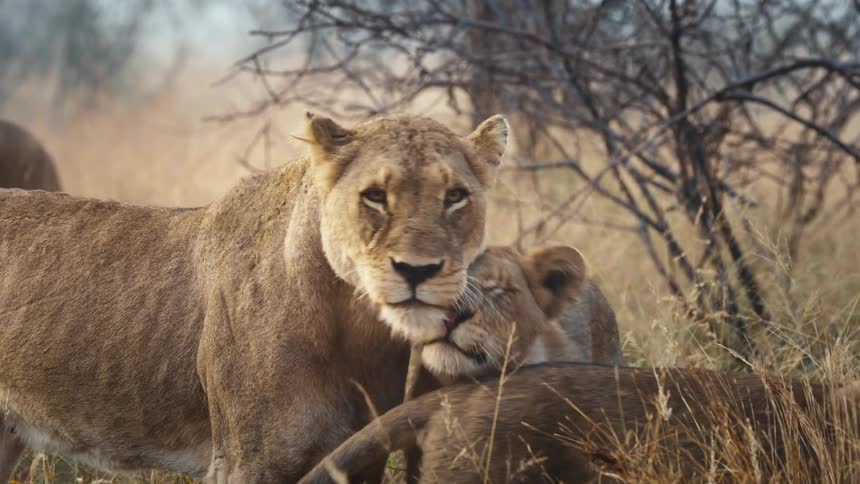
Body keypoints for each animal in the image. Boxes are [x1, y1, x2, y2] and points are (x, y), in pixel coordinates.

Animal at [0, 112, 508, 483]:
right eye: (375, 196)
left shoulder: (362, 459)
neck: (354, 330)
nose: (418, 271)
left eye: (455, 196)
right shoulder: (249, 462)